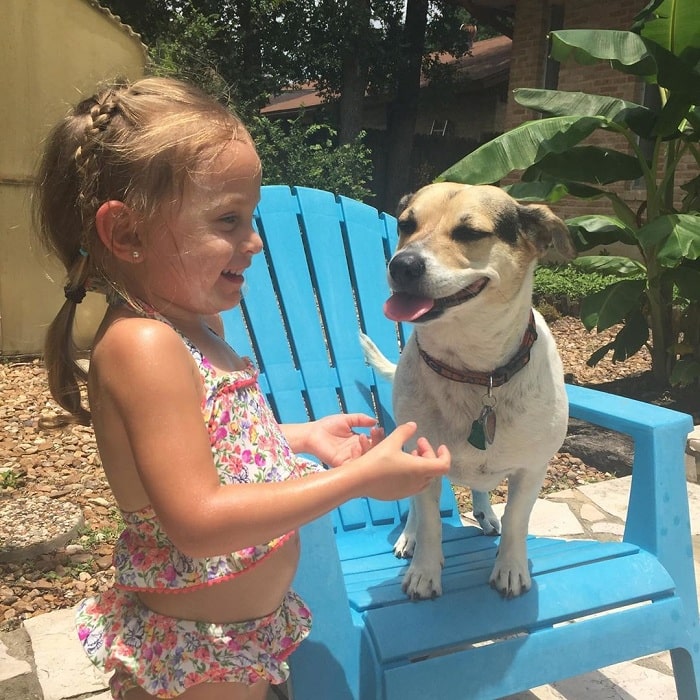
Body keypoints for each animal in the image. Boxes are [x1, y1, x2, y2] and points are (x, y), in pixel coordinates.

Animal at [360, 183, 576, 600]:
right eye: (405, 224)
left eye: (470, 233)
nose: (402, 265)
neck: (474, 371)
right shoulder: (421, 460)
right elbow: (430, 522)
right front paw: (424, 571)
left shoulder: (532, 469)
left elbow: (517, 520)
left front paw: (510, 568)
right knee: (416, 509)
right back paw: (409, 536)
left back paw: (485, 512)